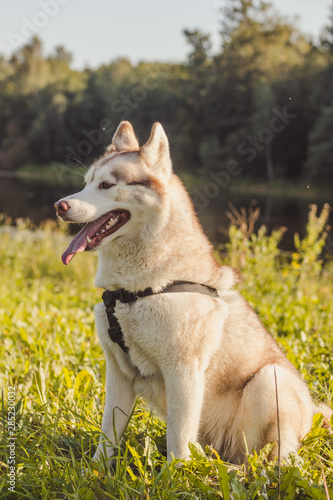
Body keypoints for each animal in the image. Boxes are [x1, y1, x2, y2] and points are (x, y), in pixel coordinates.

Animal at [55, 121, 320, 464]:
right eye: (86, 183)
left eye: (106, 185)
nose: (60, 206)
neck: (136, 291)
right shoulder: (118, 372)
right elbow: (108, 434)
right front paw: (96, 469)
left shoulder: (183, 372)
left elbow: (178, 441)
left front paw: (176, 474)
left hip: (270, 381)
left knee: (263, 459)